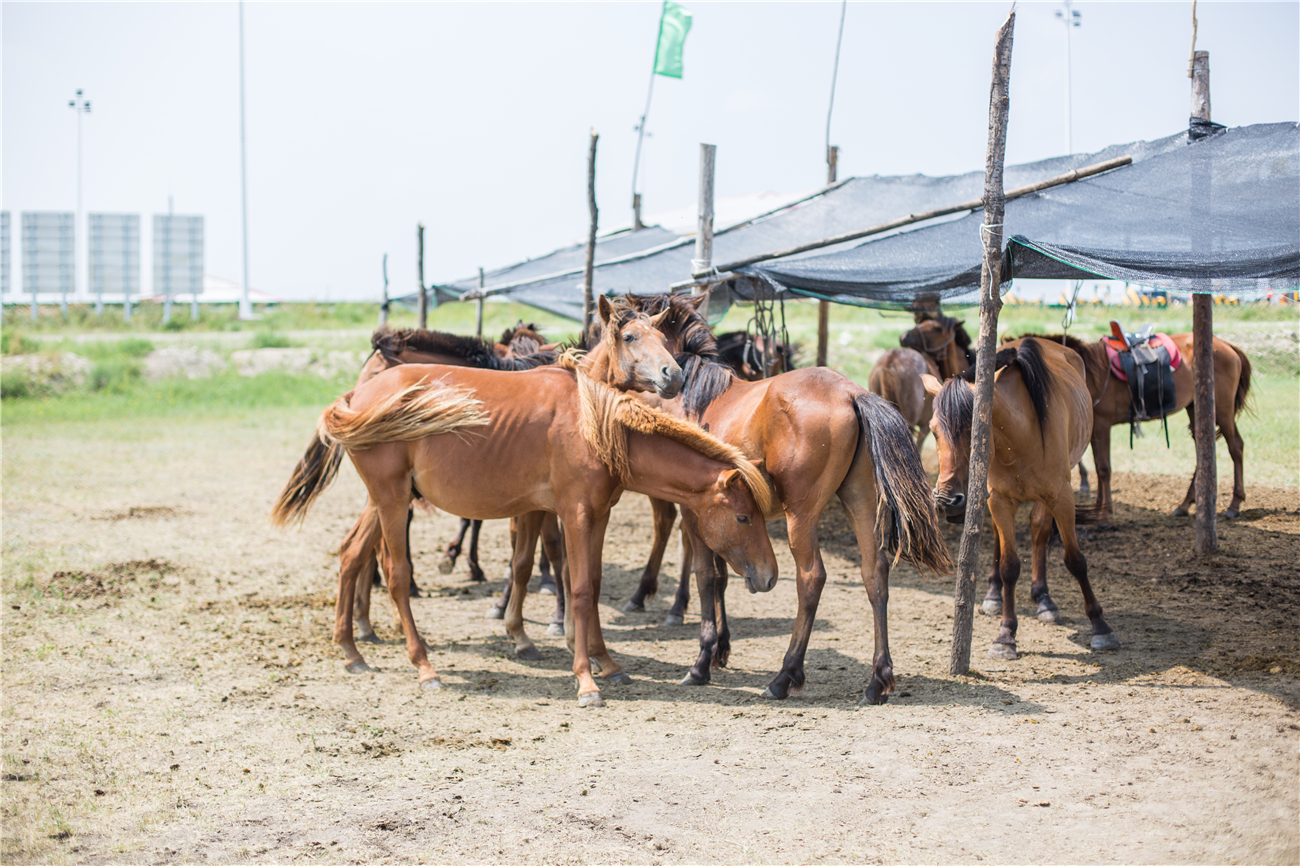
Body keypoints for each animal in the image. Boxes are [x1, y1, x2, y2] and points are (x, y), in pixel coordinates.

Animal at [263, 353, 769, 707]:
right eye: (744, 517)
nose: (769, 576)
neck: (593, 425)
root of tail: (357, 394)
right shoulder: (575, 514)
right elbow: (578, 590)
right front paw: (586, 680)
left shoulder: (597, 514)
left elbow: (590, 584)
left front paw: (607, 663)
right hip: (390, 500)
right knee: (398, 575)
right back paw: (424, 667)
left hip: (384, 499)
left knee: (351, 554)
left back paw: (352, 652)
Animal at [613, 293, 951, 707]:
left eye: (629, 335)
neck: (695, 395)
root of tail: (852, 393)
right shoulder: (725, 522)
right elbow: (723, 576)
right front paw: (721, 649)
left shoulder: (696, 513)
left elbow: (706, 576)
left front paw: (702, 661)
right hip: (859, 501)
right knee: (875, 574)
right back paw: (878, 680)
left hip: (801, 516)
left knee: (811, 579)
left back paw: (785, 675)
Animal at [925, 332, 1118, 657]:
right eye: (933, 431)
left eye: (974, 431)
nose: (947, 501)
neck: (1019, 437)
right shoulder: (1000, 500)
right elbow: (1009, 566)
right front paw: (1006, 634)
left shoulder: (1061, 497)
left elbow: (1075, 559)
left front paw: (1101, 626)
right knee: (999, 541)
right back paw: (993, 596)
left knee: (1039, 531)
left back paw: (1044, 599)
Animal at [1008, 330, 1253, 520]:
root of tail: (1226, 345)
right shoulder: (1092, 430)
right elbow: (1099, 467)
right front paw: (1098, 506)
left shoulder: (1101, 426)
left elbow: (1104, 469)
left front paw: (1105, 513)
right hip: (1196, 409)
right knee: (1202, 453)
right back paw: (1185, 504)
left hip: (1222, 410)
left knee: (1236, 447)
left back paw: (1234, 504)